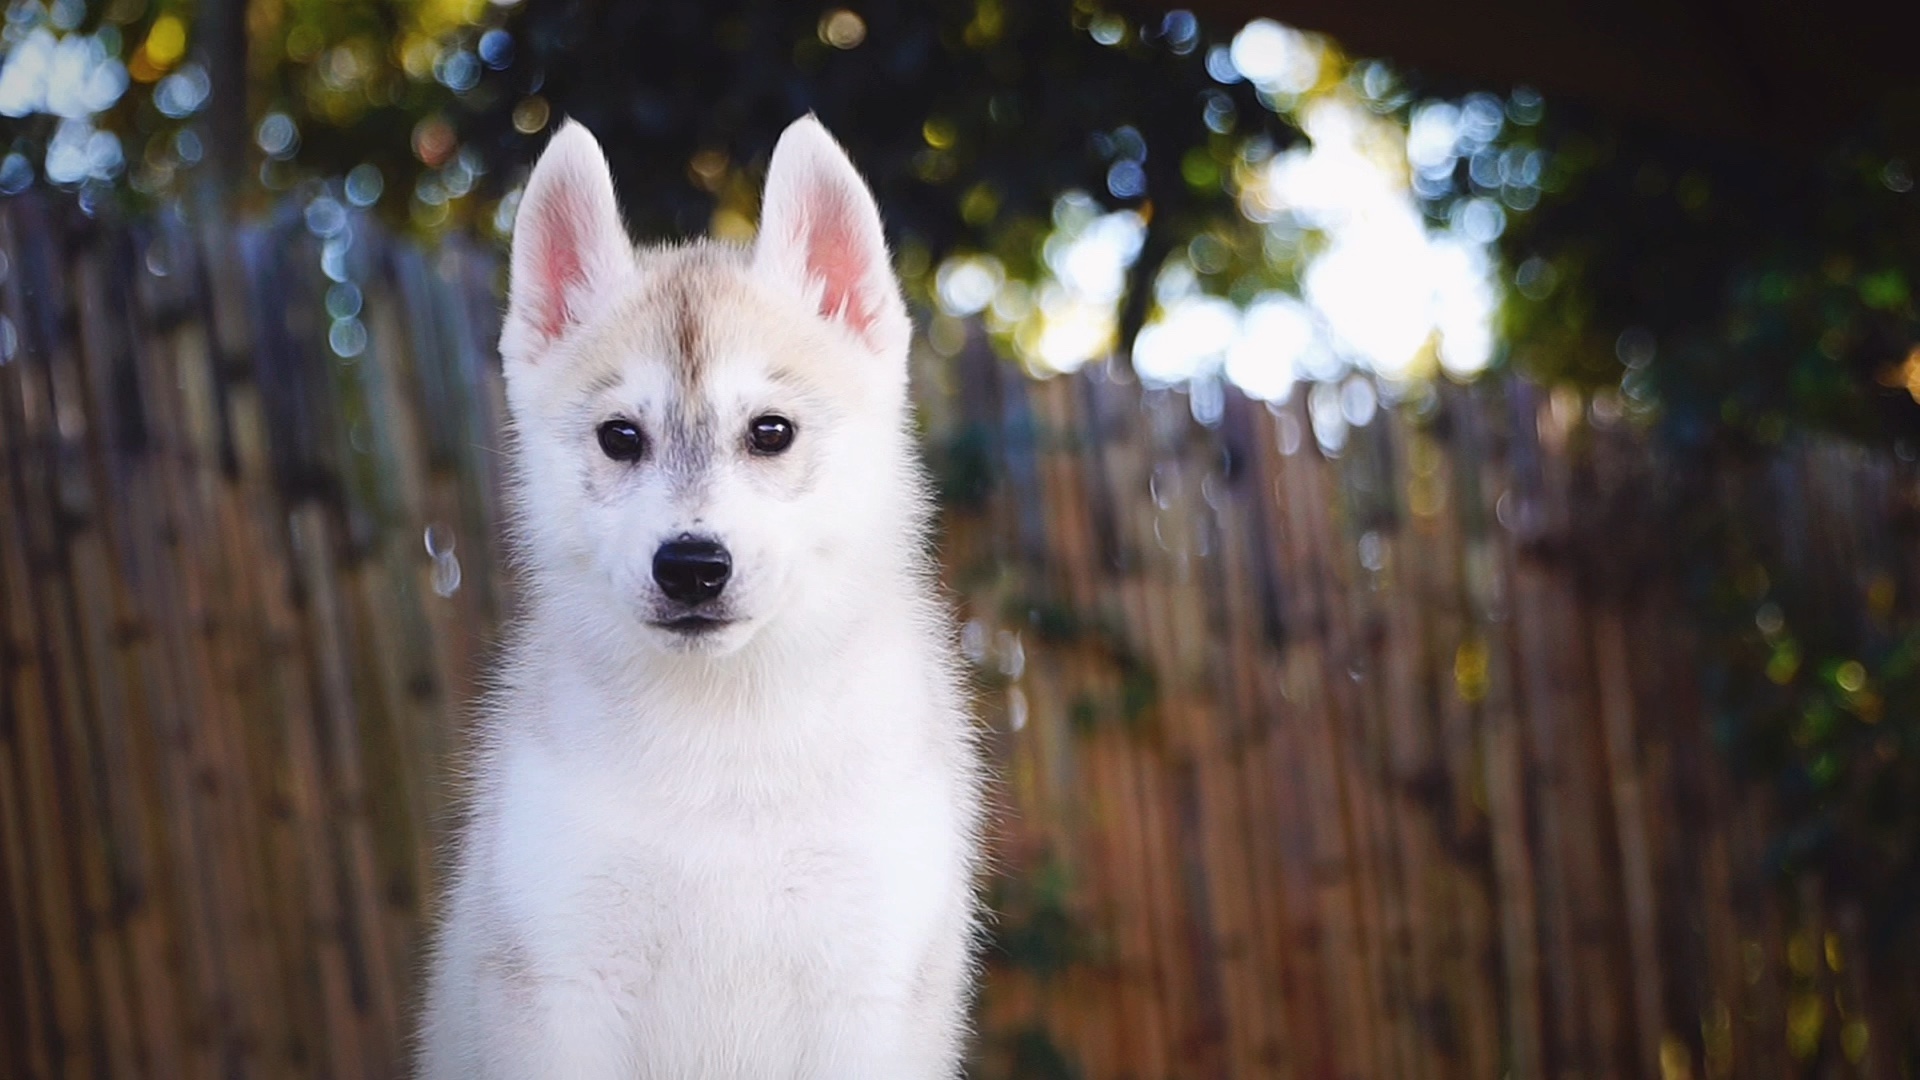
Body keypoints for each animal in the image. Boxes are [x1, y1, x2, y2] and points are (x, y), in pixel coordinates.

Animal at [420, 113, 990, 1068]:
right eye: (620, 437)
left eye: (771, 432)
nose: (690, 565)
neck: (724, 733)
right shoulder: (563, 979)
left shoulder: (863, 981)